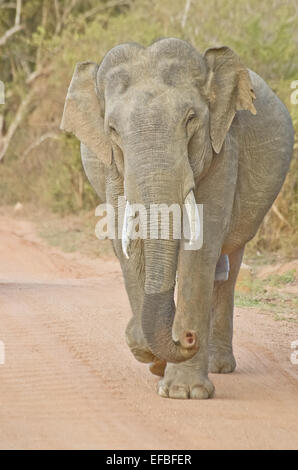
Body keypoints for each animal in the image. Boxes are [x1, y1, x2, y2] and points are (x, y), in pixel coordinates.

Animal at [60, 38, 294, 400]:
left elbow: (201, 248)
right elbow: (129, 247)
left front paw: (185, 392)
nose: (187, 337)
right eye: (112, 130)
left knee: (228, 265)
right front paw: (150, 355)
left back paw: (217, 364)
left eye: (191, 119)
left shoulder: (223, 147)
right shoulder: (114, 167)